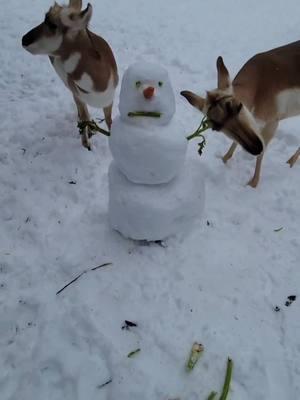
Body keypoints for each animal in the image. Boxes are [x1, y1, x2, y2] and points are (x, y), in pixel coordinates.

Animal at [21, 0, 118, 150]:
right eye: (45, 18)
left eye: (52, 24)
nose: (23, 39)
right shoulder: (78, 96)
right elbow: (84, 118)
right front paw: (86, 144)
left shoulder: (108, 102)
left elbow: (109, 121)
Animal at [180, 43, 300, 187]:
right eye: (216, 127)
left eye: (239, 106)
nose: (255, 148)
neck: (260, 83)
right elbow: (235, 142)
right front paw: (224, 159)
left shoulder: (272, 124)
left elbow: (261, 154)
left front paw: (253, 184)